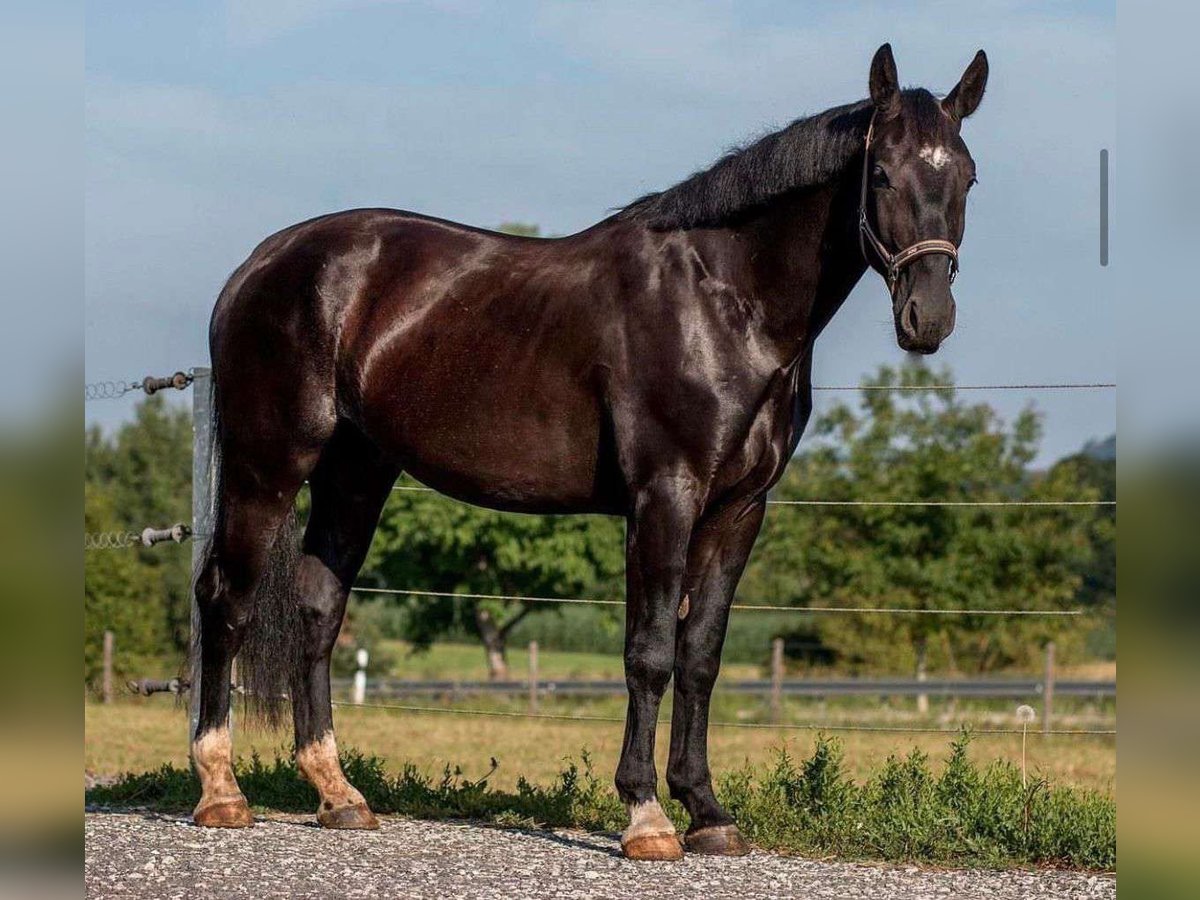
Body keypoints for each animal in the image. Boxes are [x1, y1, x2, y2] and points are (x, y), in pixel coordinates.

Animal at [192, 45, 988, 864]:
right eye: (882, 173)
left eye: (966, 176)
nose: (929, 318)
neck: (723, 300)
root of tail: (258, 265)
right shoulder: (664, 496)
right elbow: (650, 652)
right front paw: (647, 816)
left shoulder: (740, 509)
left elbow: (701, 655)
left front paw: (708, 811)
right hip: (267, 466)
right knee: (224, 600)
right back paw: (222, 792)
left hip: (356, 471)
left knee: (319, 610)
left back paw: (338, 795)